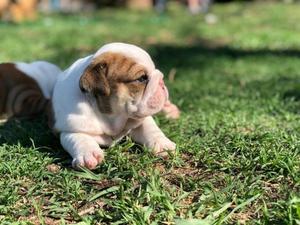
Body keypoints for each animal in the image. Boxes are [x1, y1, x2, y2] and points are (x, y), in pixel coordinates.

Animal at [51, 42, 180, 170]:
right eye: (141, 78)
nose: (162, 81)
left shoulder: (140, 118)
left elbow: (151, 129)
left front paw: (163, 144)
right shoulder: (68, 127)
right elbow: (79, 138)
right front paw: (89, 154)